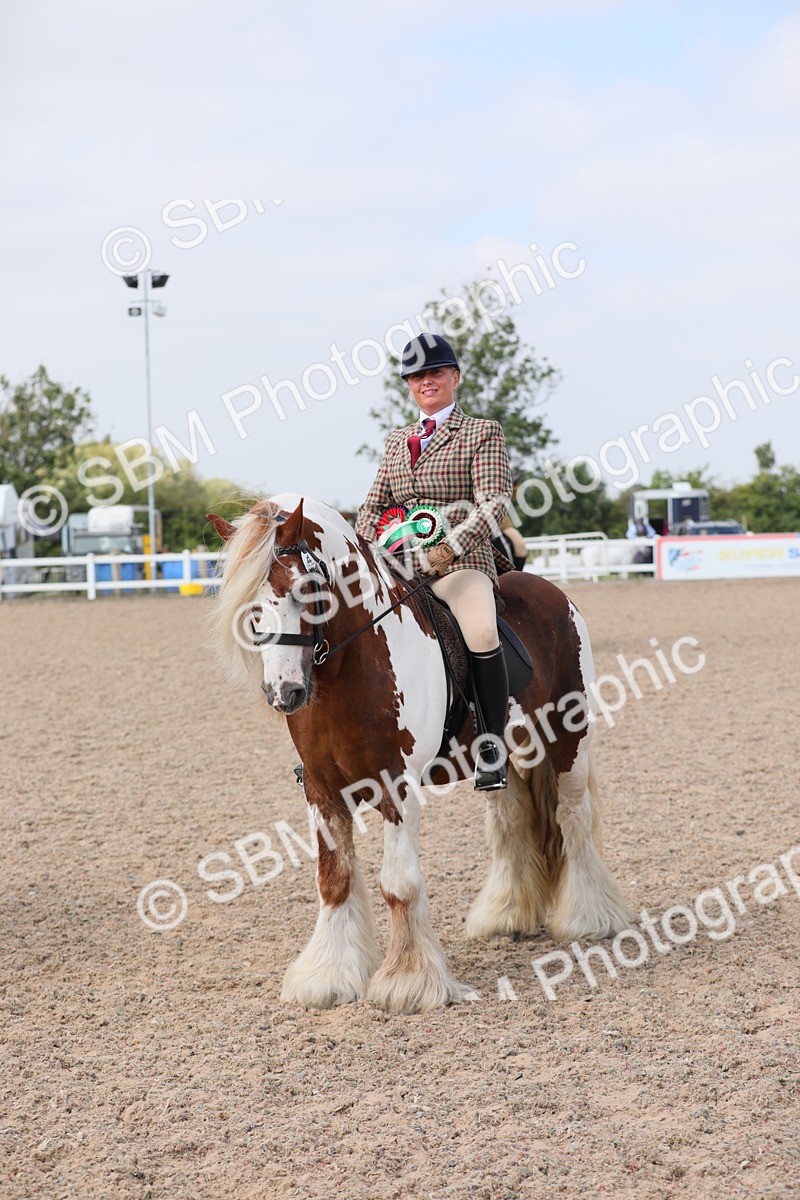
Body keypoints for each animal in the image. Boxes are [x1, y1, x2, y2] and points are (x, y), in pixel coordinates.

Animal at [207, 493, 629, 1014]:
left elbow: (400, 884)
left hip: (570, 741)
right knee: (510, 820)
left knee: (573, 818)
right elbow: (333, 879)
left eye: (305, 589)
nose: (284, 692)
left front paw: (409, 982)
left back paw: (589, 918)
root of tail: (549, 590)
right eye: (249, 604)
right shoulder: (323, 791)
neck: (352, 667)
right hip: (504, 755)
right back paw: (506, 915)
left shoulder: (398, 788)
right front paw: (328, 977)